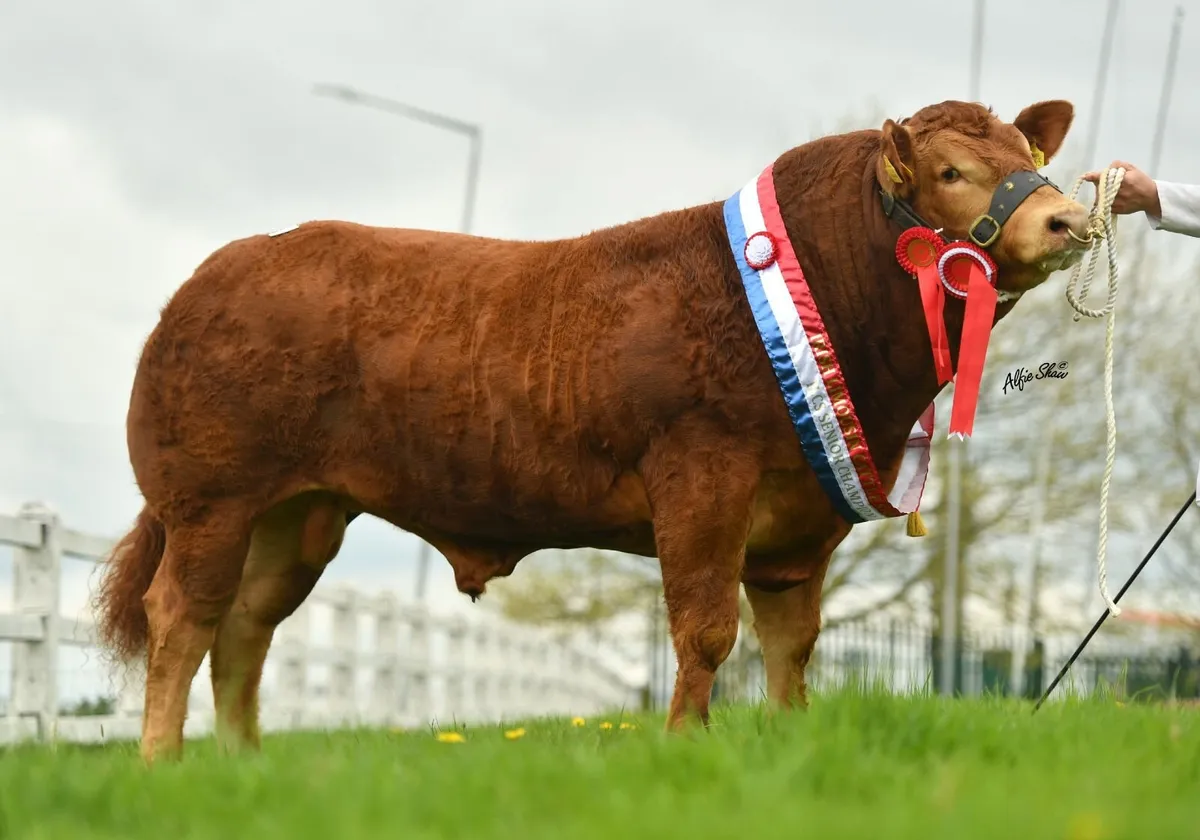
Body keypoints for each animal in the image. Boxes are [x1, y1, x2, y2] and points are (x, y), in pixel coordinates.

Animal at [94, 98, 1090, 763]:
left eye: (1029, 152)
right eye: (951, 172)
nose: (1067, 216)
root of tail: (225, 268)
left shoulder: (801, 524)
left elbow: (791, 643)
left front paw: (786, 738)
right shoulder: (703, 477)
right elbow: (706, 631)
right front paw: (685, 746)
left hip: (298, 516)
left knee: (246, 626)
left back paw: (242, 764)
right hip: (211, 500)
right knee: (183, 616)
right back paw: (163, 764)